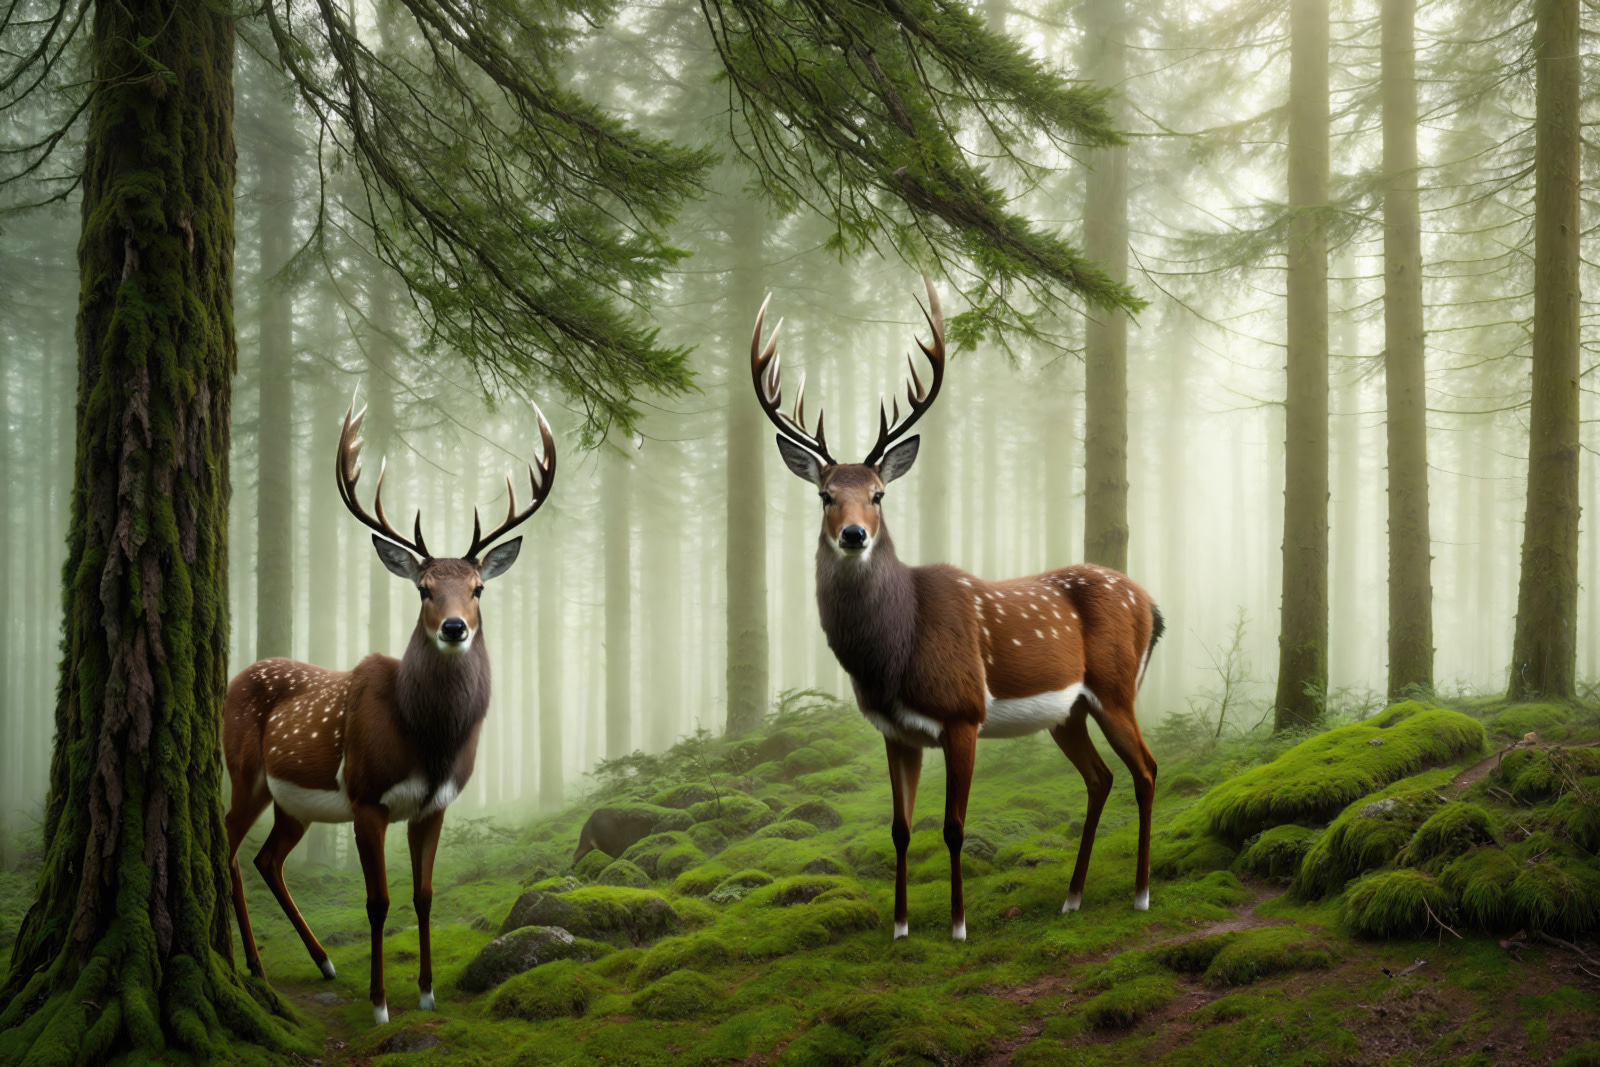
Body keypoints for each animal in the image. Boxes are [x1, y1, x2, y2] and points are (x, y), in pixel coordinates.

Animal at [222, 394, 555, 1025]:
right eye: (423, 589)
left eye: (478, 588)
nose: (455, 628)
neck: (425, 739)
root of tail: (232, 678)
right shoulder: (366, 796)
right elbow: (377, 901)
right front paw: (378, 1003)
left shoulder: (436, 804)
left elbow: (424, 896)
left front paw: (426, 993)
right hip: (245, 772)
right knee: (226, 845)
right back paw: (253, 965)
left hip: (293, 803)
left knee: (267, 859)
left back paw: (323, 961)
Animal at [751, 279, 1164, 942]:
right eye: (824, 494)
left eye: (878, 495)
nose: (853, 535)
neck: (891, 658)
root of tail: (1152, 604)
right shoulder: (895, 730)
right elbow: (899, 828)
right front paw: (898, 928)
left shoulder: (963, 713)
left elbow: (952, 826)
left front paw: (958, 926)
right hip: (1068, 711)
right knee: (1099, 778)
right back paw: (1071, 898)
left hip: (1115, 686)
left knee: (1146, 769)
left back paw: (1142, 894)